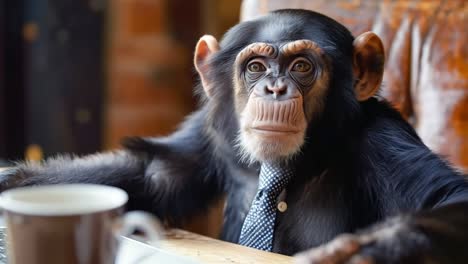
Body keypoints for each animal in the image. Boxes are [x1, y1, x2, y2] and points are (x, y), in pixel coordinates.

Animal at [0, 8, 468, 264]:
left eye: (301, 66)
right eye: (256, 67)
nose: (275, 88)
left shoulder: (383, 142)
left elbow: (447, 197)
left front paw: (375, 250)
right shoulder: (211, 133)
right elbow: (154, 173)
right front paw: (11, 181)